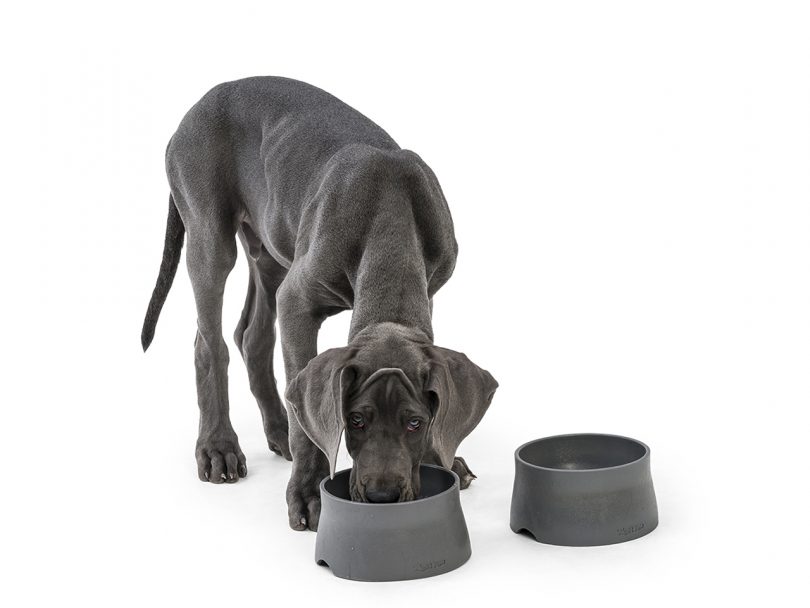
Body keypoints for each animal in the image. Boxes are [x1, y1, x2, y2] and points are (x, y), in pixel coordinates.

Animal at [144, 77, 498, 532]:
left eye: (415, 422)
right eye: (355, 420)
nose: (382, 496)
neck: (392, 218)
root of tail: (196, 106)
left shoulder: (428, 294)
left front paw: (444, 457)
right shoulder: (298, 302)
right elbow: (305, 418)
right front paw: (309, 493)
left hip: (272, 248)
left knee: (251, 335)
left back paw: (276, 429)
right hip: (210, 236)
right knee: (210, 343)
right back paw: (219, 446)